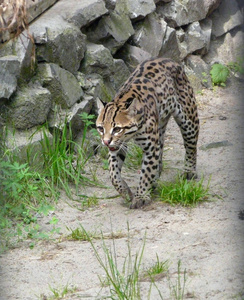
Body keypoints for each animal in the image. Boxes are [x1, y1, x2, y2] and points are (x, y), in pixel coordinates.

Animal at [95, 58, 198, 209]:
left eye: (117, 129)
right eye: (101, 128)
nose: (106, 142)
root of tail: (170, 60)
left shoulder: (151, 147)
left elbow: (146, 172)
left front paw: (141, 196)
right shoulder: (117, 147)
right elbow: (113, 174)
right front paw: (126, 192)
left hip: (189, 119)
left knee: (191, 146)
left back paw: (189, 171)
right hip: (160, 128)